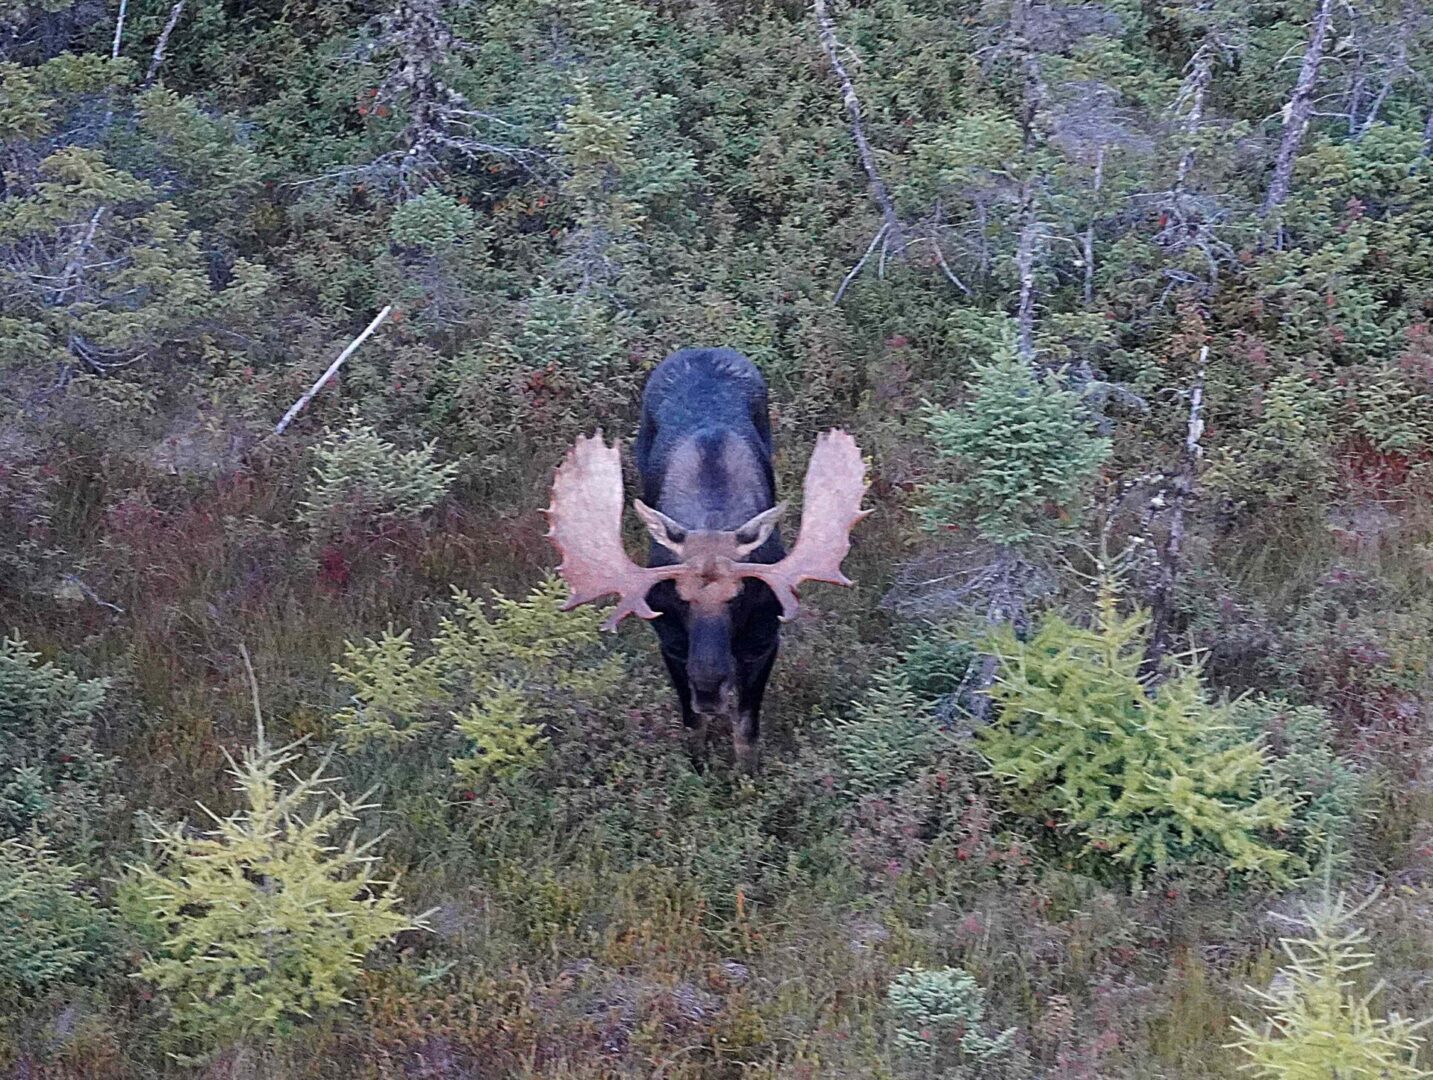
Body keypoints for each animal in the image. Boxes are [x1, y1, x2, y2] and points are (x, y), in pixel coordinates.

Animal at [541, 345, 865, 767]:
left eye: (739, 597)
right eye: (681, 599)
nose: (709, 683)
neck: (713, 517)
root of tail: (703, 350)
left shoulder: (765, 639)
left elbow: (746, 730)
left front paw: (746, 776)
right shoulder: (671, 643)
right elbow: (691, 724)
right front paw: (697, 768)